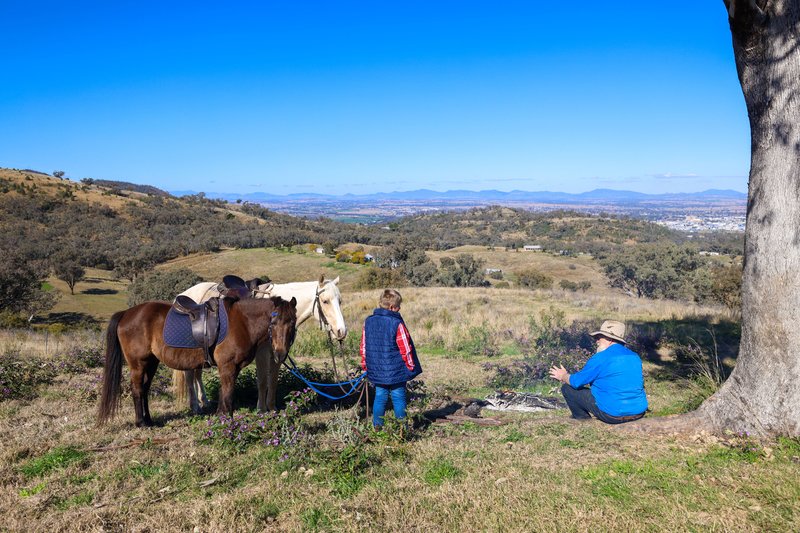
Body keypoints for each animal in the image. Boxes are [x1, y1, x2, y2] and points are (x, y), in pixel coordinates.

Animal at [97, 294, 296, 426]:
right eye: (273, 323)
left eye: (293, 323)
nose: (280, 354)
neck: (242, 322)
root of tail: (126, 313)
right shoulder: (227, 367)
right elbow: (228, 396)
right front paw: (228, 423)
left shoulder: (232, 368)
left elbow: (224, 395)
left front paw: (220, 417)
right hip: (138, 364)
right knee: (137, 390)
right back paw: (141, 423)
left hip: (151, 363)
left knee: (145, 389)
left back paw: (149, 419)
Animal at [172, 274, 346, 412]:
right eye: (325, 301)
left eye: (340, 301)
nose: (341, 331)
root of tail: (183, 294)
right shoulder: (262, 353)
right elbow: (262, 380)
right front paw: (261, 409)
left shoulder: (278, 353)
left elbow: (273, 380)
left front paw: (272, 408)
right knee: (189, 375)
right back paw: (195, 406)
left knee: (197, 373)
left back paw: (204, 401)